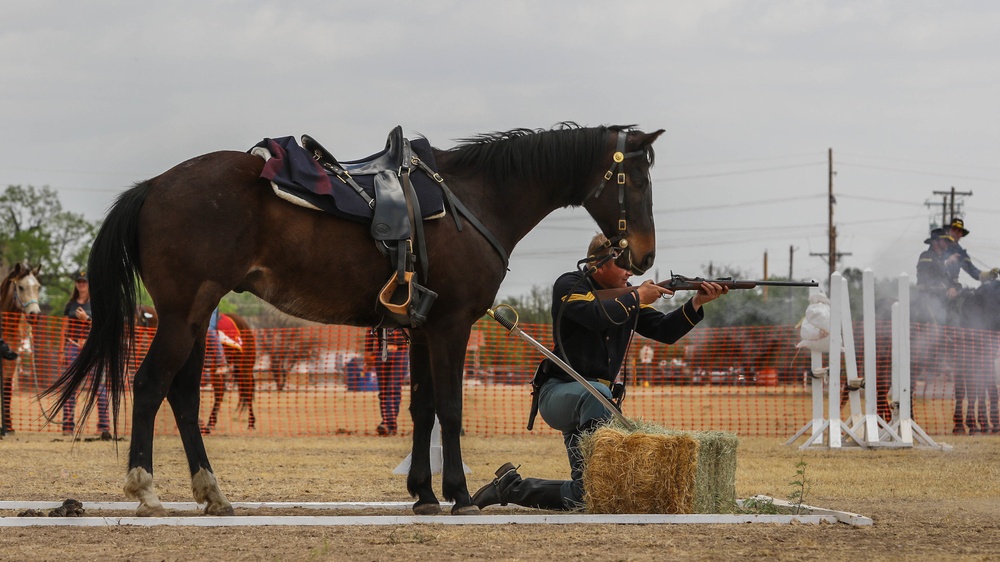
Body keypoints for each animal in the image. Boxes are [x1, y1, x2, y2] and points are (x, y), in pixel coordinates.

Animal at [47, 124, 664, 516]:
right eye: (636, 178)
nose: (644, 256)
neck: (474, 200)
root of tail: (154, 186)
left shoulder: (422, 330)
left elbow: (420, 408)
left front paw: (424, 495)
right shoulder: (452, 325)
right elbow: (449, 409)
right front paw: (460, 495)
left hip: (196, 317)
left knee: (180, 395)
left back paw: (213, 494)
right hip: (183, 315)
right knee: (150, 385)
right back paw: (147, 489)